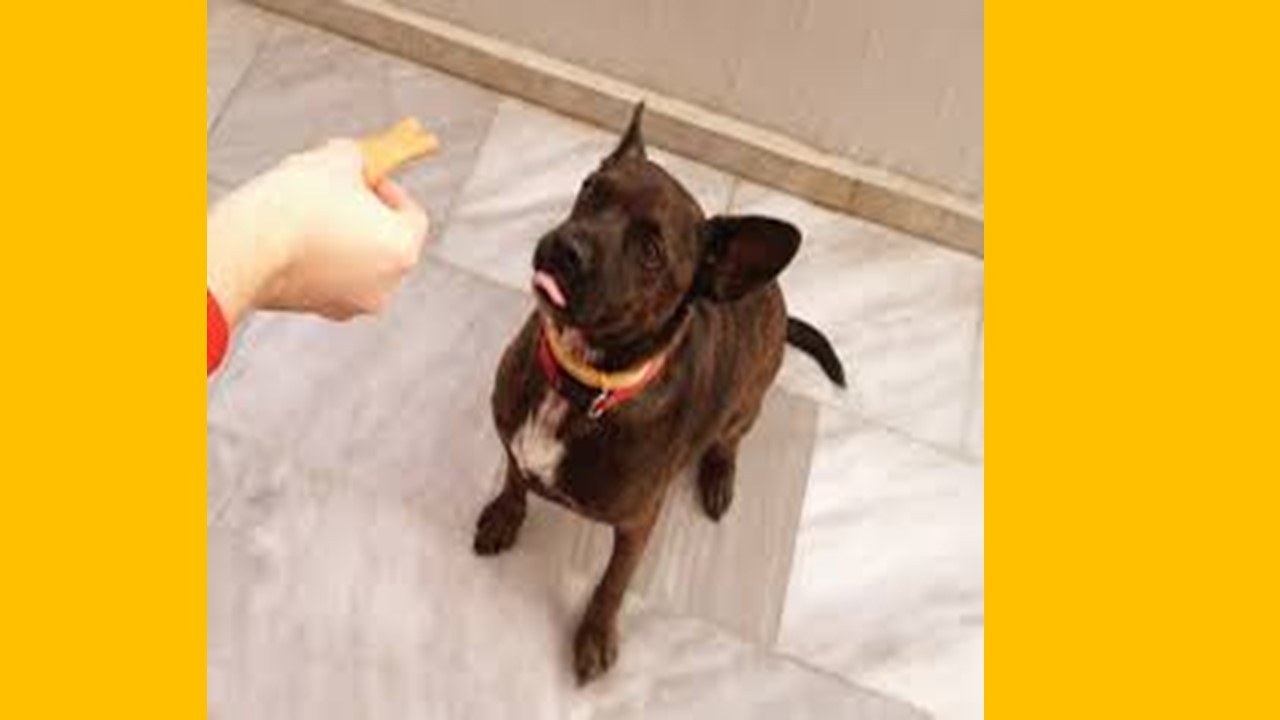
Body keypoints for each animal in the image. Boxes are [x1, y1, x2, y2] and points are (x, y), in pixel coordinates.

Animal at [474, 104, 846, 684]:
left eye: (650, 252)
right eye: (590, 188)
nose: (566, 248)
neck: (584, 385)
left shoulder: (636, 525)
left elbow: (612, 583)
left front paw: (595, 635)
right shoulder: (513, 440)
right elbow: (515, 476)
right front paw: (504, 515)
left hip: (745, 406)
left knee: (727, 443)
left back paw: (718, 477)